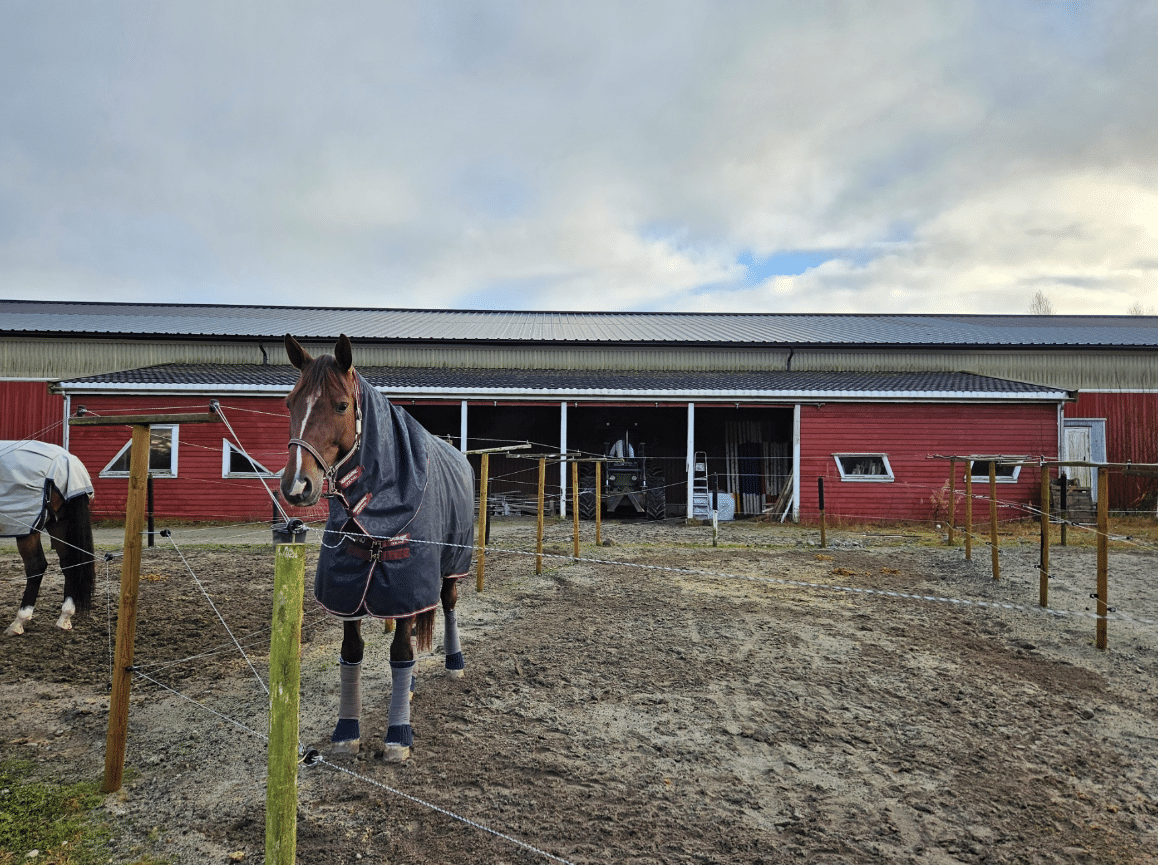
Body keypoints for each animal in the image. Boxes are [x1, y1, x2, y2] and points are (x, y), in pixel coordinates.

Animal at [1, 441, 96, 636]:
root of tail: (67, 461)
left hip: (30, 529)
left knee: (36, 566)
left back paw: (18, 622)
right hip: (60, 525)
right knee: (68, 563)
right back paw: (64, 618)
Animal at [280, 334, 475, 762]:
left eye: (341, 405)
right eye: (289, 403)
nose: (296, 486)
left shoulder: (405, 584)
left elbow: (399, 653)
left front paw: (398, 735)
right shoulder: (351, 589)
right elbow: (352, 651)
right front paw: (346, 730)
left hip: (452, 561)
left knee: (448, 603)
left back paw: (454, 663)